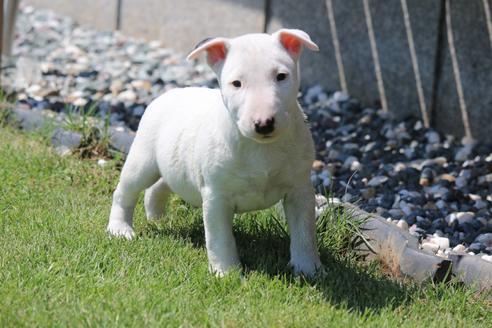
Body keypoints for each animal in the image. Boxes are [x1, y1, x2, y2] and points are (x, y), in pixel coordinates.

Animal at [107, 28, 322, 276]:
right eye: (236, 83)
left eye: (281, 76)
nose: (264, 124)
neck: (259, 147)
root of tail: (168, 93)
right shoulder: (216, 196)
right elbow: (220, 238)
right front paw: (226, 272)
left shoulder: (300, 189)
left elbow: (304, 232)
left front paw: (308, 269)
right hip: (143, 159)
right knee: (126, 191)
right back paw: (120, 229)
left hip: (174, 162)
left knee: (161, 183)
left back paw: (156, 216)